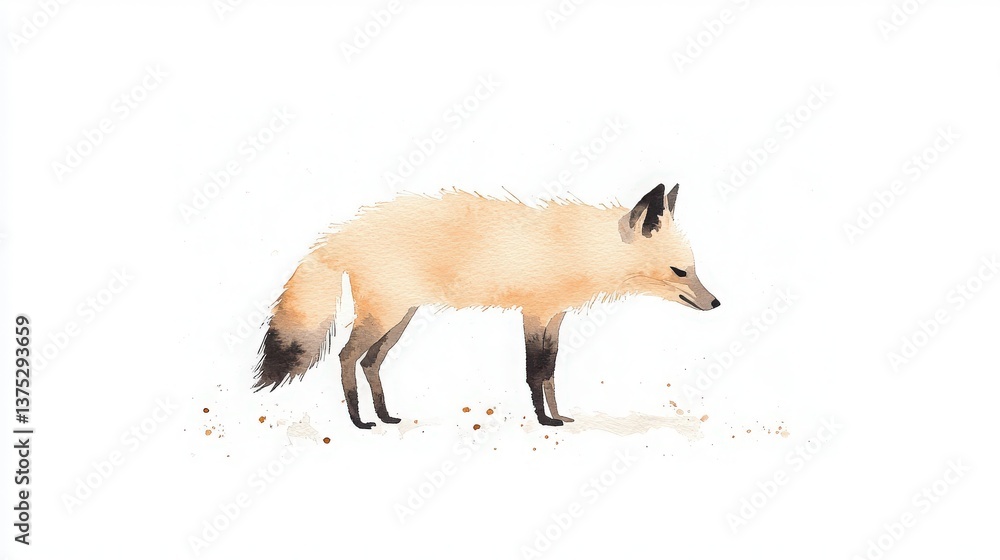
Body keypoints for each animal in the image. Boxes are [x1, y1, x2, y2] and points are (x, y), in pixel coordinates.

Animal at [253, 183, 720, 429]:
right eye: (680, 272)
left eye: (695, 269)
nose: (716, 302)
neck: (577, 250)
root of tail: (342, 232)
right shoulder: (534, 313)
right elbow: (534, 372)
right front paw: (544, 422)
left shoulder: (555, 317)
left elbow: (550, 372)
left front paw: (558, 416)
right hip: (384, 315)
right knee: (347, 357)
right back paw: (358, 422)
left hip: (400, 318)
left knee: (370, 362)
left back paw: (385, 416)